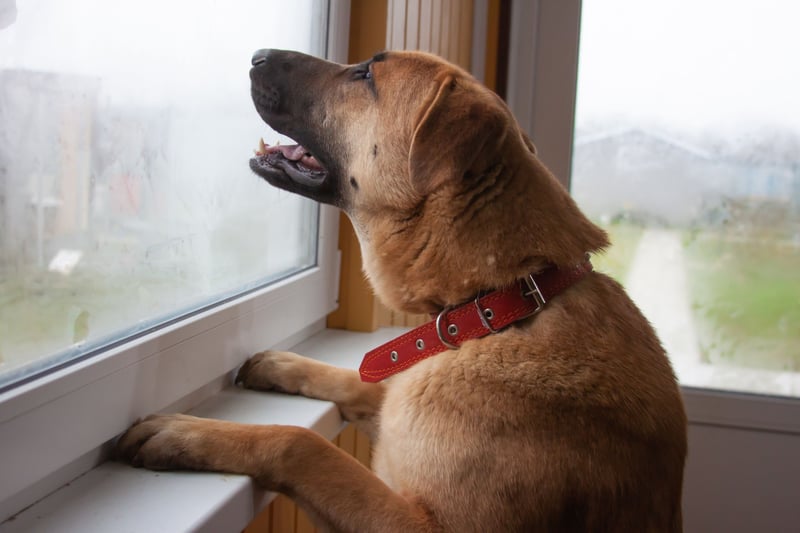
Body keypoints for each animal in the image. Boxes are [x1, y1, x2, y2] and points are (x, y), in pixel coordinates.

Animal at [118, 50, 687, 532]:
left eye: (366, 74)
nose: (257, 56)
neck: (499, 305)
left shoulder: (421, 521)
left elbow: (301, 444)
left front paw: (188, 433)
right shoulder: (396, 406)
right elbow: (360, 383)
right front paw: (284, 364)